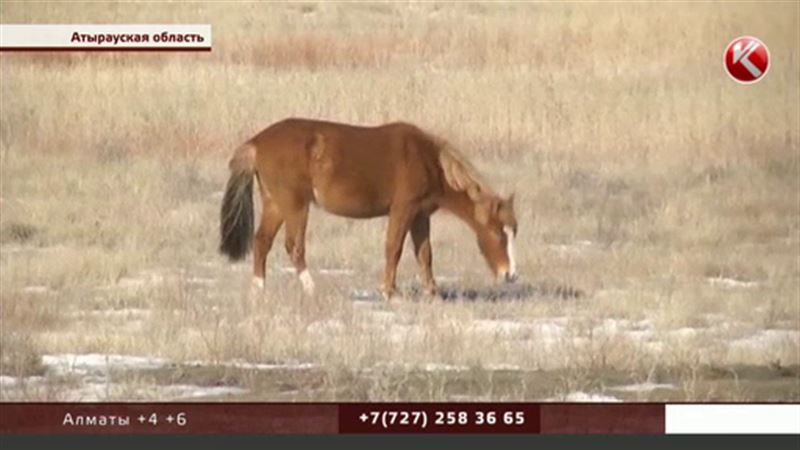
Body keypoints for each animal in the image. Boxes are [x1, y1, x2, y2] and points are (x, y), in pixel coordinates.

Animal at [219, 118, 520, 298]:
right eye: (497, 234)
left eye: (512, 232)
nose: (510, 275)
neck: (428, 160)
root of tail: (256, 142)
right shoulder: (403, 209)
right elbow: (394, 248)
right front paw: (389, 291)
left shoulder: (420, 215)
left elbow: (425, 254)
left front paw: (433, 291)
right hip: (295, 205)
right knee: (294, 246)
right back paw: (311, 288)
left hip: (275, 204)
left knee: (261, 242)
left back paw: (259, 290)